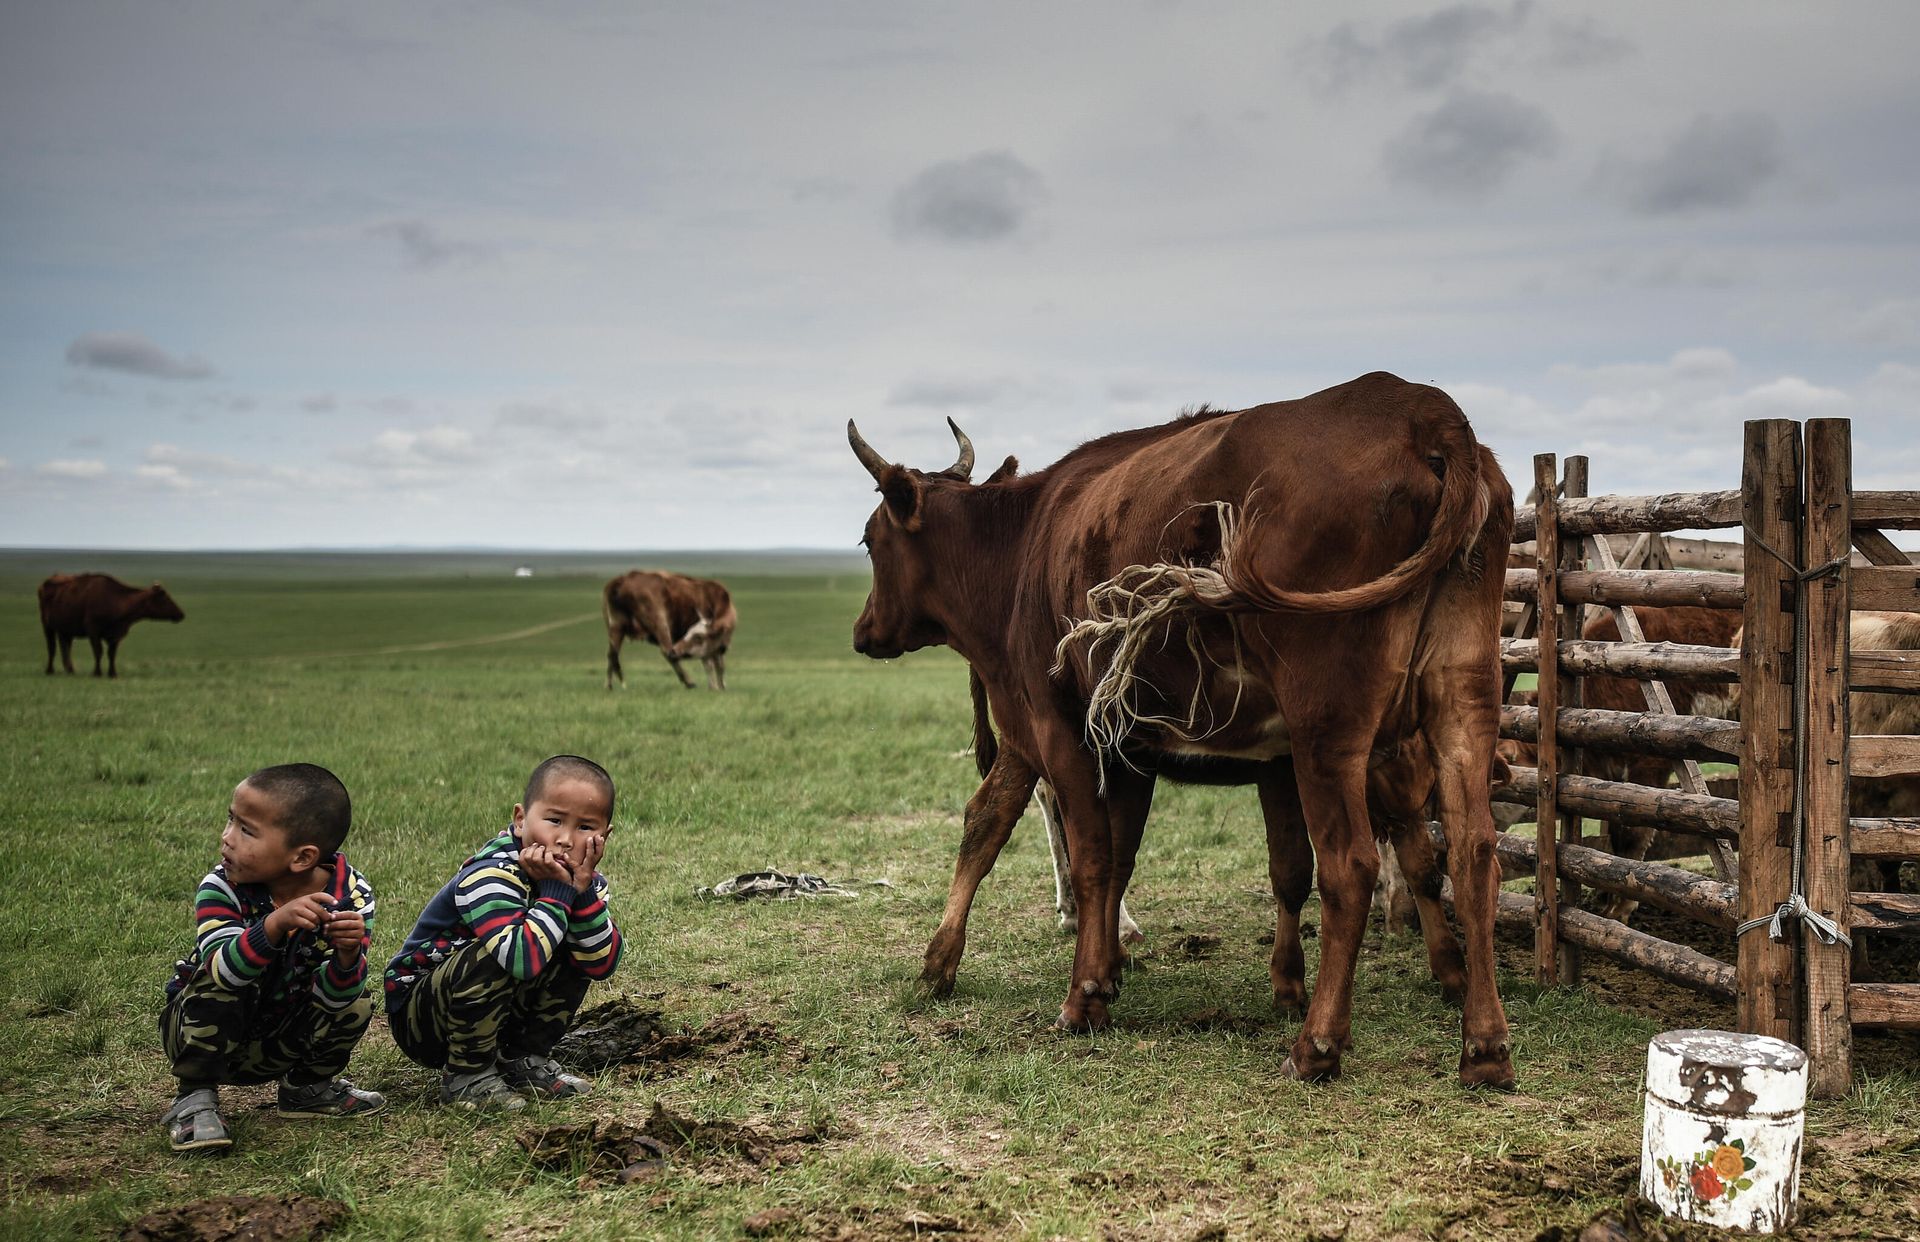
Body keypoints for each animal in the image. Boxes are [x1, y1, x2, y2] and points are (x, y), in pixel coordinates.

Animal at [39, 573, 185, 678]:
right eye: (164, 598)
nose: (181, 614)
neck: (115, 600)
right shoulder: (93, 631)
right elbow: (98, 651)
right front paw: (97, 673)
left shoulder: (115, 636)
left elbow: (112, 654)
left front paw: (112, 673)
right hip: (47, 627)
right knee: (52, 648)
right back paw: (49, 670)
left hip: (65, 631)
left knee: (65, 648)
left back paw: (70, 670)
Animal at [602, 571, 736, 690]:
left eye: (697, 637)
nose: (676, 649)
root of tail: (623, 580)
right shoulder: (709, 649)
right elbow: (712, 664)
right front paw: (716, 687)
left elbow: (718, 664)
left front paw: (720, 686)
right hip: (660, 623)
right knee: (666, 650)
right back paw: (689, 682)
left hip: (616, 627)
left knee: (612, 654)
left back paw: (609, 686)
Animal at [851, 372, 1516, 1088]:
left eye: (868, 540)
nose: (862, 632)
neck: (1024, 543)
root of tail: (1424, 413)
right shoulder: (1132, 749)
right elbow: (1123, 856)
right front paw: (1107, 969)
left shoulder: (1057, 729)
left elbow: (1077, 853)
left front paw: (1080, 994)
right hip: (1461, 708)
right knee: (1474, 854)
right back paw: (1484, 1046)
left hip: (1328, 730)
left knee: (1352, 867)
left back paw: (1318, 1044)